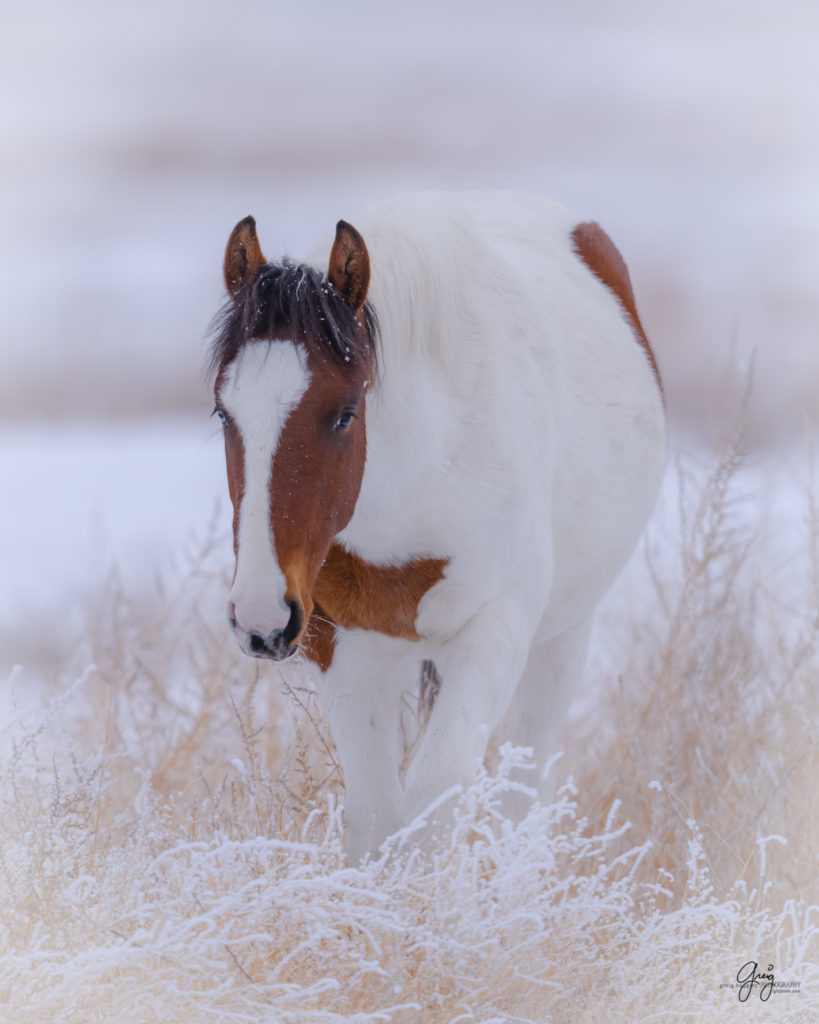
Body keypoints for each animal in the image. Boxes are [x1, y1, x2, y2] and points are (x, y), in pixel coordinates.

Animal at [206, 190, 663, 856]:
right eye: (223, 412)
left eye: (344, 414)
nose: (261, 620)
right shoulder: (336, 642)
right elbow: (377, 815)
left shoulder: (496, 629)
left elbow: (435, 797)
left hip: (561, 638)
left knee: (526, 783)